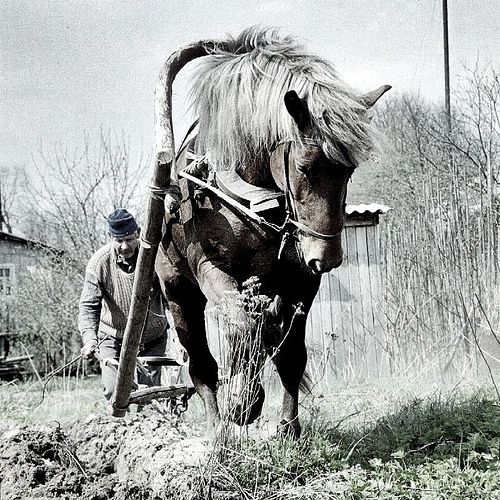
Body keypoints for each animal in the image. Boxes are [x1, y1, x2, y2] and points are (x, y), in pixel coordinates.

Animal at [151, 28, 386, 438]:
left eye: (349, 169)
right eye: (305, 167)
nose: (326, 258)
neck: (253, 199)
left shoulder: (300, 282)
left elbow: (290, 355)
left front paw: (288, 428)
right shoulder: (211, 269)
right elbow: (242, 328)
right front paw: (242, 402)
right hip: (179, 294)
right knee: (202, 363)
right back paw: (218, 431)